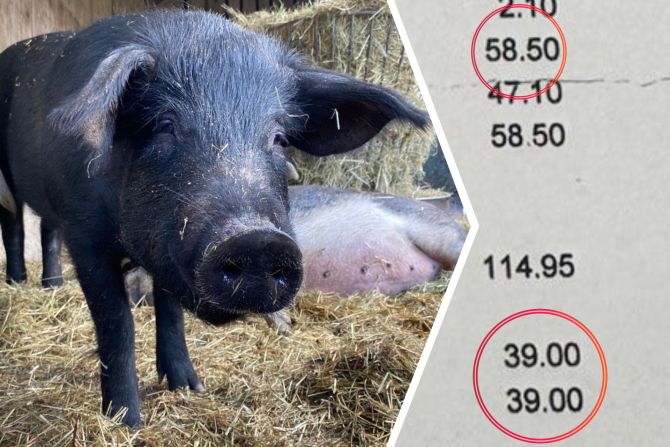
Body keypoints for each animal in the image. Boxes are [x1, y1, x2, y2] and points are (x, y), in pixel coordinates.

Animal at [0, 10, 428, 426]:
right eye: (165, 126)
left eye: (278, 138)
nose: (257, 240)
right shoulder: (85, 236)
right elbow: (117, 323)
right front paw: (126, 421)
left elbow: (170, 312)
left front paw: (189, 388)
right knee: (16, 226)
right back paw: (18, 281)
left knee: (46, 230)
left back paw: (52, 286)